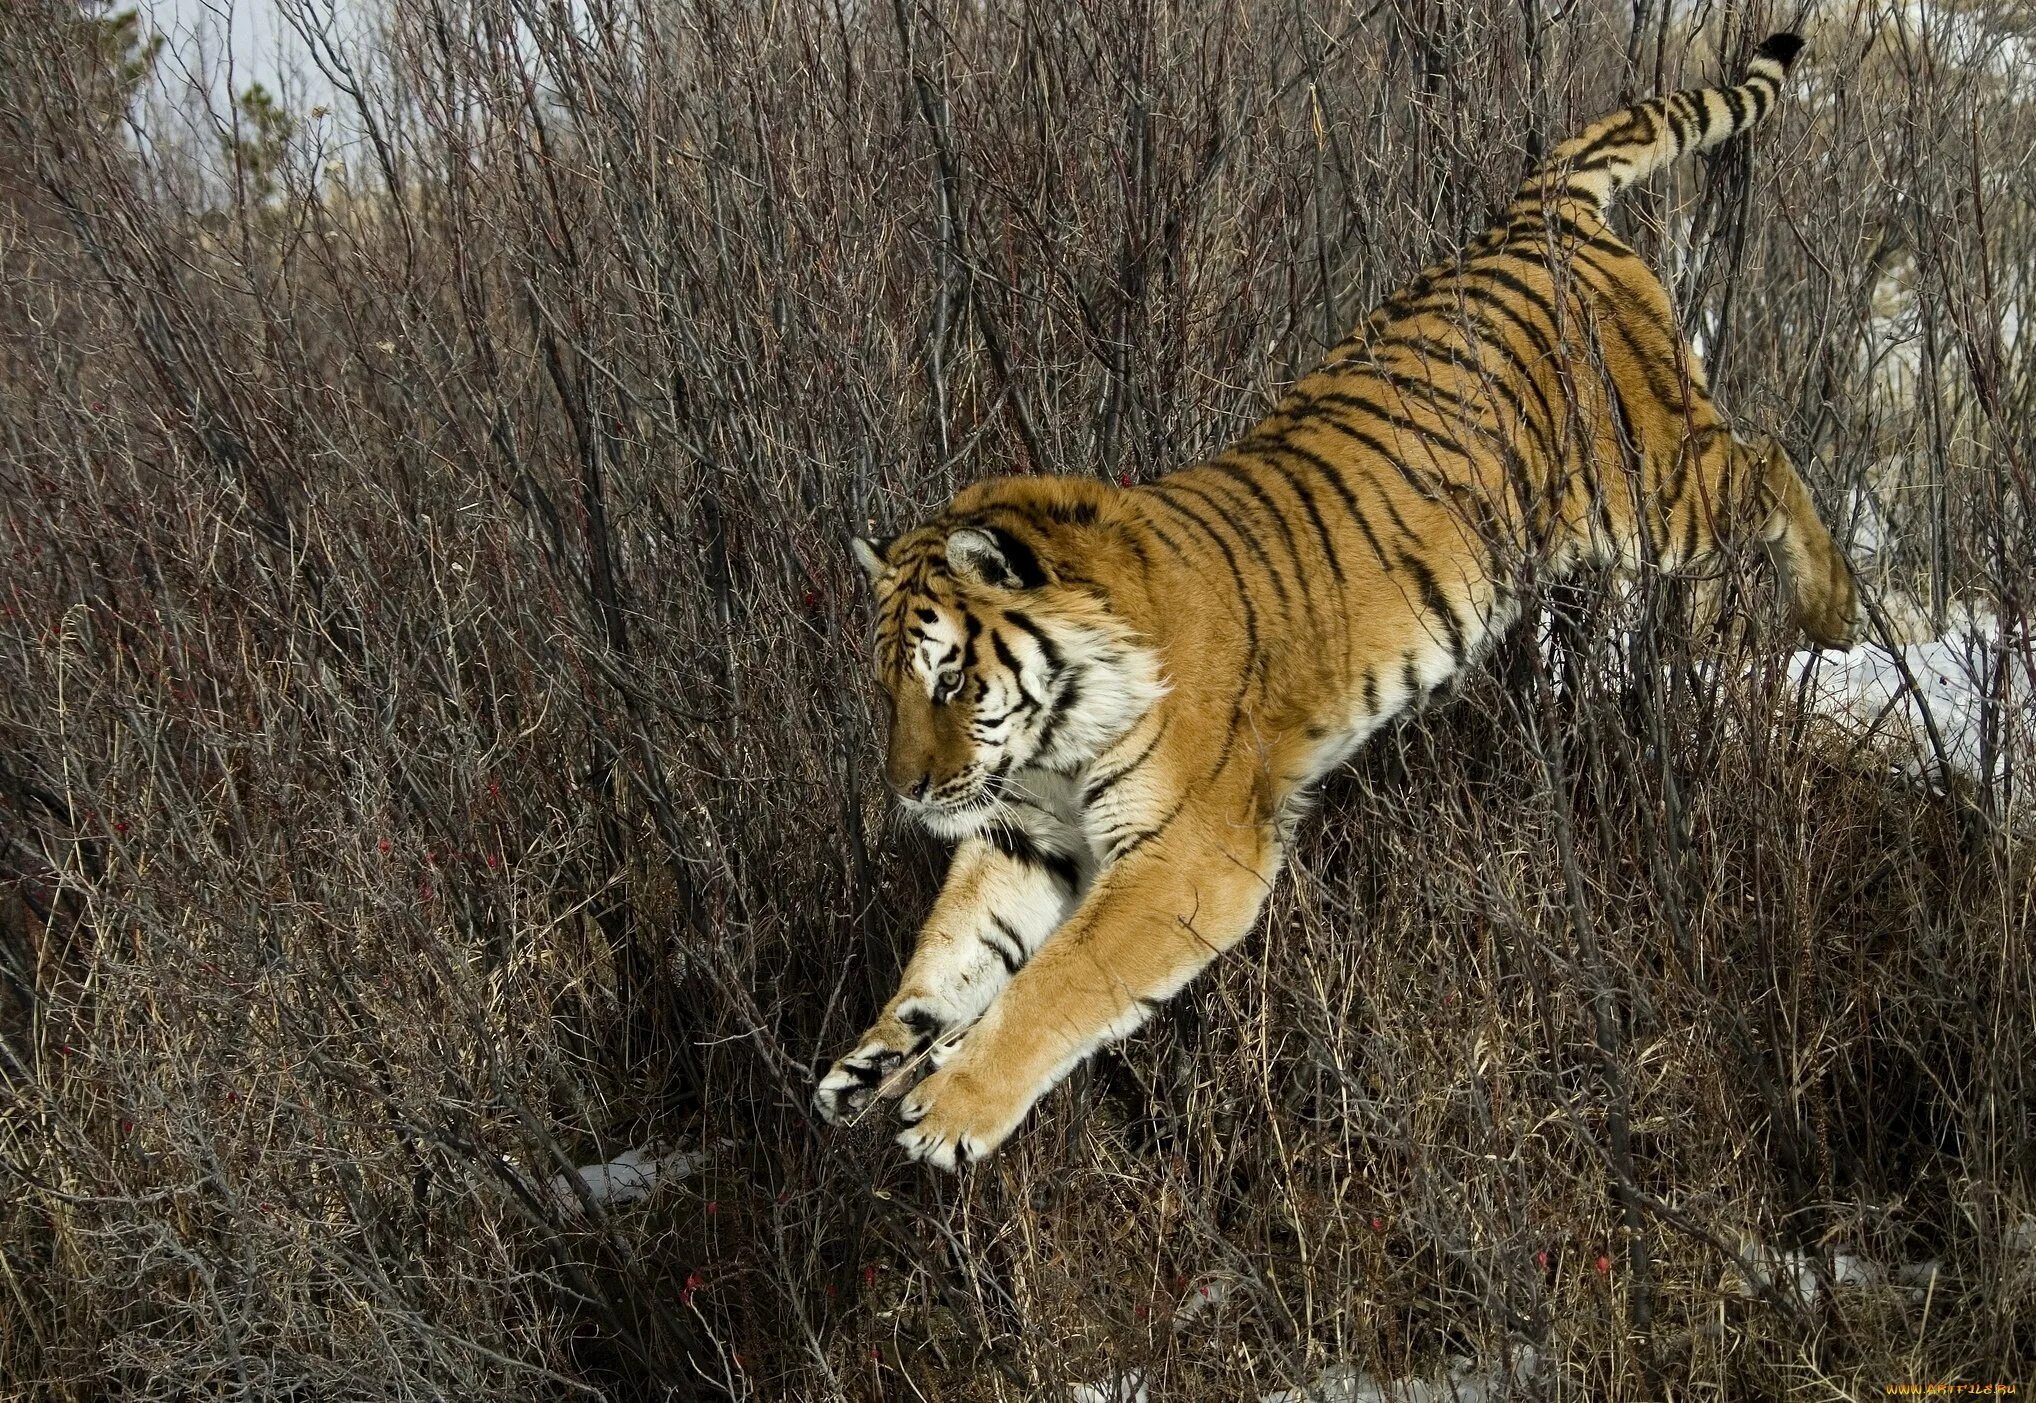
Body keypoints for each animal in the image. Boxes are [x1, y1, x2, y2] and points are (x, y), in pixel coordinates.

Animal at [814, 35, 1864, 1172]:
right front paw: (876, 1057)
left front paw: (953, 1104)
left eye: (952, 678)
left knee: (1769, 458)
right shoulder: (1026, 836)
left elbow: (1062, 981)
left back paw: (1835, 611)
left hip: (1652, 489)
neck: (1056, 735)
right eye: (888, 686)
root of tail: (1530, 211)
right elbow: (956, 948)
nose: (910, 793)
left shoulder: (1191, 855)